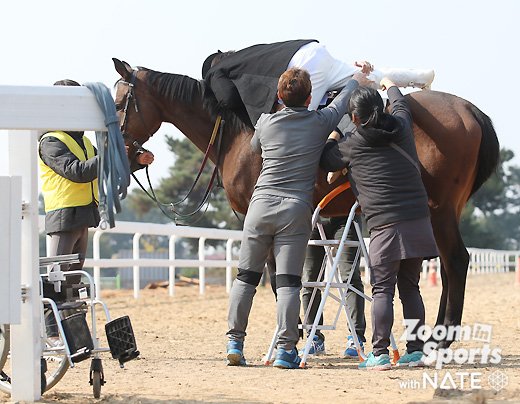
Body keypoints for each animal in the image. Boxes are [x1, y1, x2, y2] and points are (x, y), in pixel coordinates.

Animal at [112, 56, 500, 348]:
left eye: (118, 103)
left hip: (440, 211)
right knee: (448, 267)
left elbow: (274, 276)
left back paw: (442, 338)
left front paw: (294, 333)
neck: (239, 132)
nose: (125, 153)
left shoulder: (257, 216)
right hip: (440, 213)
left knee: (456, 262)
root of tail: (468, 110)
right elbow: (302, 277)